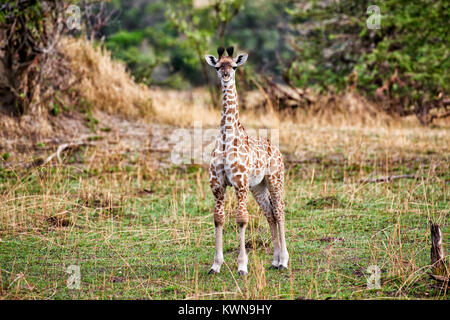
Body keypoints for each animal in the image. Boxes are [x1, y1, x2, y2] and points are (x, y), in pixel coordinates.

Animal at [206, 47, 290, 276]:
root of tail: (277, 150)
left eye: (234, 66)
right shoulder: (217, 186)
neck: (227, 139)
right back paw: (275, 261)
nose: (226, 76)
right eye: (217, 67)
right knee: (270, 214)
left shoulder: (240, 184)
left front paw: (242, 266)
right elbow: (219, 219)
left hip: (275, 179)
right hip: (258, 186)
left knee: (279, 212)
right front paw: (216, 265)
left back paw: (284, 261)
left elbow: (242, 219)